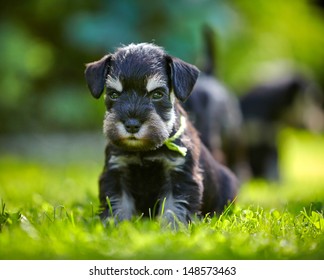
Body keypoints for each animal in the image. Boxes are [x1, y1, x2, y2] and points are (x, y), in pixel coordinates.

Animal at [85, 42, 238, 225]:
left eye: (157, 94)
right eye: (113, 94)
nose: (132, 125)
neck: (145, 151)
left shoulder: (180, 174)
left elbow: (174, 207)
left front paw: (172, 228)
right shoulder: (116, 172)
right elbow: (119, 204)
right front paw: (116, 226)